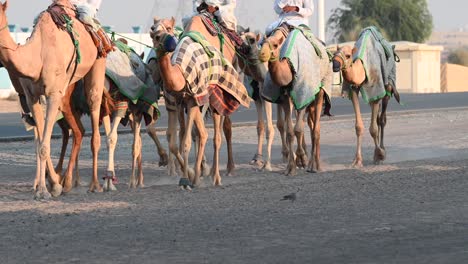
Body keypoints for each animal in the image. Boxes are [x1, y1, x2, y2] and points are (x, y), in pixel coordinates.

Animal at [0, 0, 105, 198]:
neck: (37, 55)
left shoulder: (53, 94)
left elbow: (43, 145)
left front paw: (46, 190)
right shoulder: (32, 97)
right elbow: (41, 142)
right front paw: (51, 184)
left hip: (98, 60)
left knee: (94, 110)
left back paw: (96, 185)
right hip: (68, 87)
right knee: (77, 130)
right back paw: (70, 182)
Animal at [260, 25, 332, 175]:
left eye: (275, 45)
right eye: (262, 43)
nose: (262, 54)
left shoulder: (303, 93)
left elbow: (298, 129)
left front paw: (302, 159)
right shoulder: (286, 98)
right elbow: (290, 131)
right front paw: (290, 168)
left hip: (321, 89)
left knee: (316, 129)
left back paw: (315, 166)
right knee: (311, 126)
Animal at [330, 26, 400, 167]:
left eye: (348, 55)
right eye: (334, 54)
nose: (335, 65)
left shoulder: (376, 89)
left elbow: (373, 129)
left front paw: (380, 155)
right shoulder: (354, 90)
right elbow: (359, 127)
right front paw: (357, 160)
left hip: (388, 86)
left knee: (382, 119)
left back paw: (382, 149)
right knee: (377, 117)